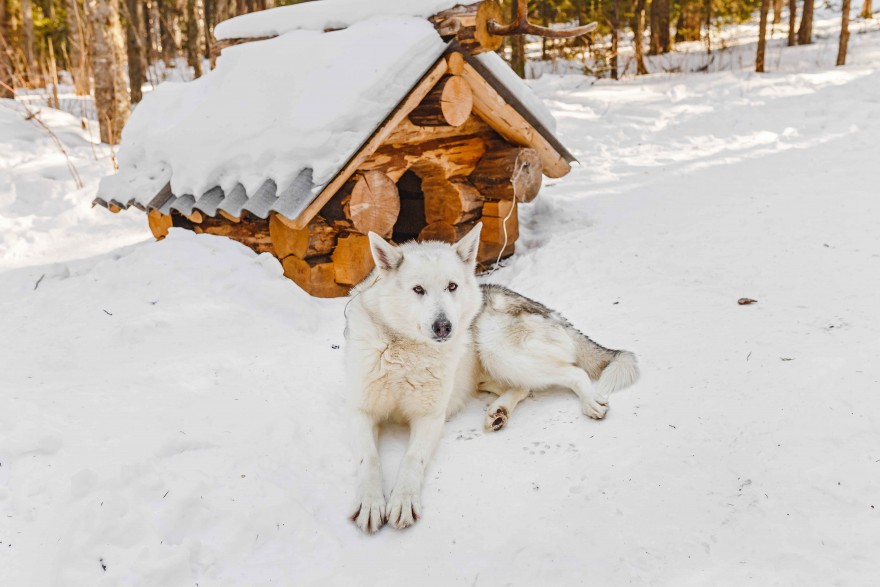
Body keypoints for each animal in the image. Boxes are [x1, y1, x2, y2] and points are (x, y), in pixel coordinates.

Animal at [345, 223, 639, 533]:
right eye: (418, 290)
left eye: (452, 286)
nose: (443, 326)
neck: (406, 349)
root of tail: (549, 311)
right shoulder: (359, 412)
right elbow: (369, 459)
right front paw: (370, 502)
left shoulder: (430, 418)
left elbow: (413, 458)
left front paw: (402, 501)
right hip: (488, 368)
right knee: (522, 388)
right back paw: (499, 411)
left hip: (496, 348)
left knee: (573, 372)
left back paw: (588, 402)